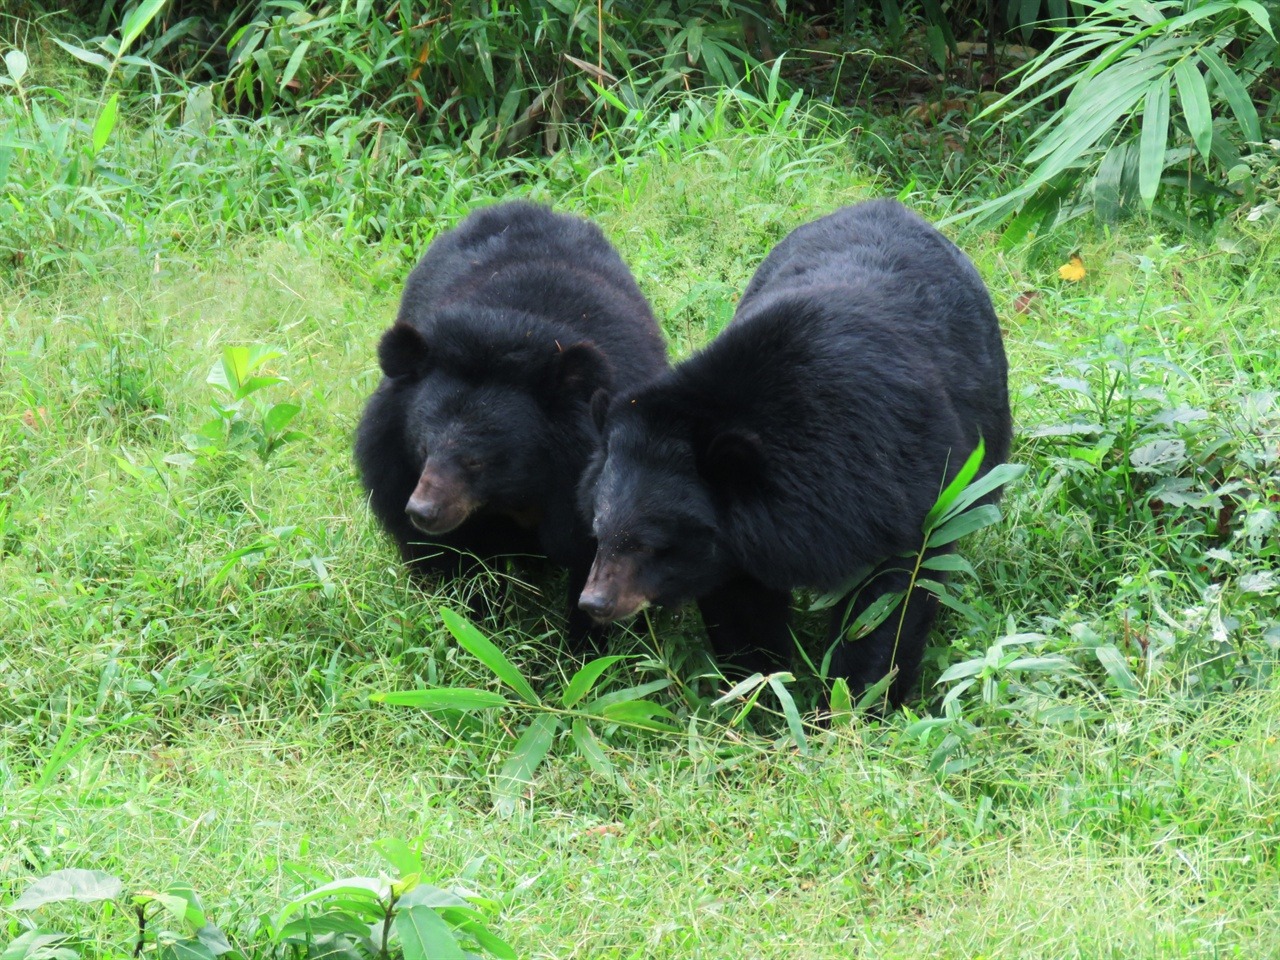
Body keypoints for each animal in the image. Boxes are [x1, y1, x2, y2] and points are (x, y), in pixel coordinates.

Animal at [353, 199, 665, 642]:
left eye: (477, 461)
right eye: (423, 448)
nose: (423, 512)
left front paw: (585, 646)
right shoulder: (393, 462)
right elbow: (448, 561)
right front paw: (475, 628)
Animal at [578, 199, 1008, 701]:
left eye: (648, 543)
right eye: (599, 530)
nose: (595, 602)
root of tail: (891, 206)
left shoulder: (903, 486)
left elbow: (889, 602)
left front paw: (860, 698)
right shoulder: (731, 548)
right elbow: (744, 615)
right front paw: (759, 691)